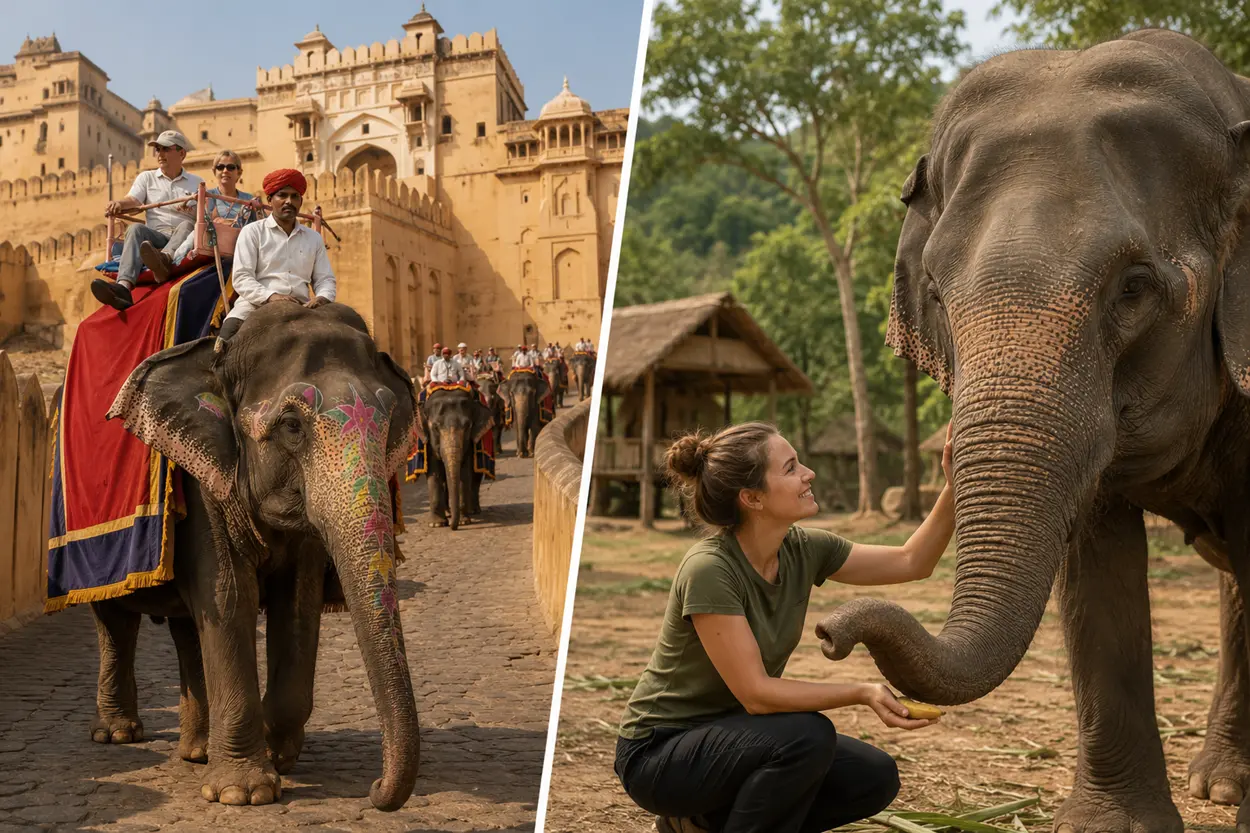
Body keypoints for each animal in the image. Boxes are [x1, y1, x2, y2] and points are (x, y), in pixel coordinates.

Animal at [96, 301, 420, 810]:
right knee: (116, 621)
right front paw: (241, 793)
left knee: (187, 627)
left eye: (389, 425)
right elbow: (230, 598)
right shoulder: (201, 480)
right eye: (291, 425)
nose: (375, 791)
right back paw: (119, 734)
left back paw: (196, 752)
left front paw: (277, 753)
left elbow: (299, 604)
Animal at [419, 386, 493, 530]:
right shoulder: (428, 442)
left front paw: (463, 522)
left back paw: (473, 511)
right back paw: (448, 513)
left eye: (468, 426)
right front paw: (436, 524)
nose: (452, 527)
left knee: (476, 475)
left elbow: (464, 473)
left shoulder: (468, 443)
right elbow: (434, 472)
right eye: (435, 427)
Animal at [815, 30, 1250, 833]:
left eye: (1135, 288)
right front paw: (1113, 826)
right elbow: (1097, 574)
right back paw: (1221, 785)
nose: (828, 633)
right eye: (936, 293)